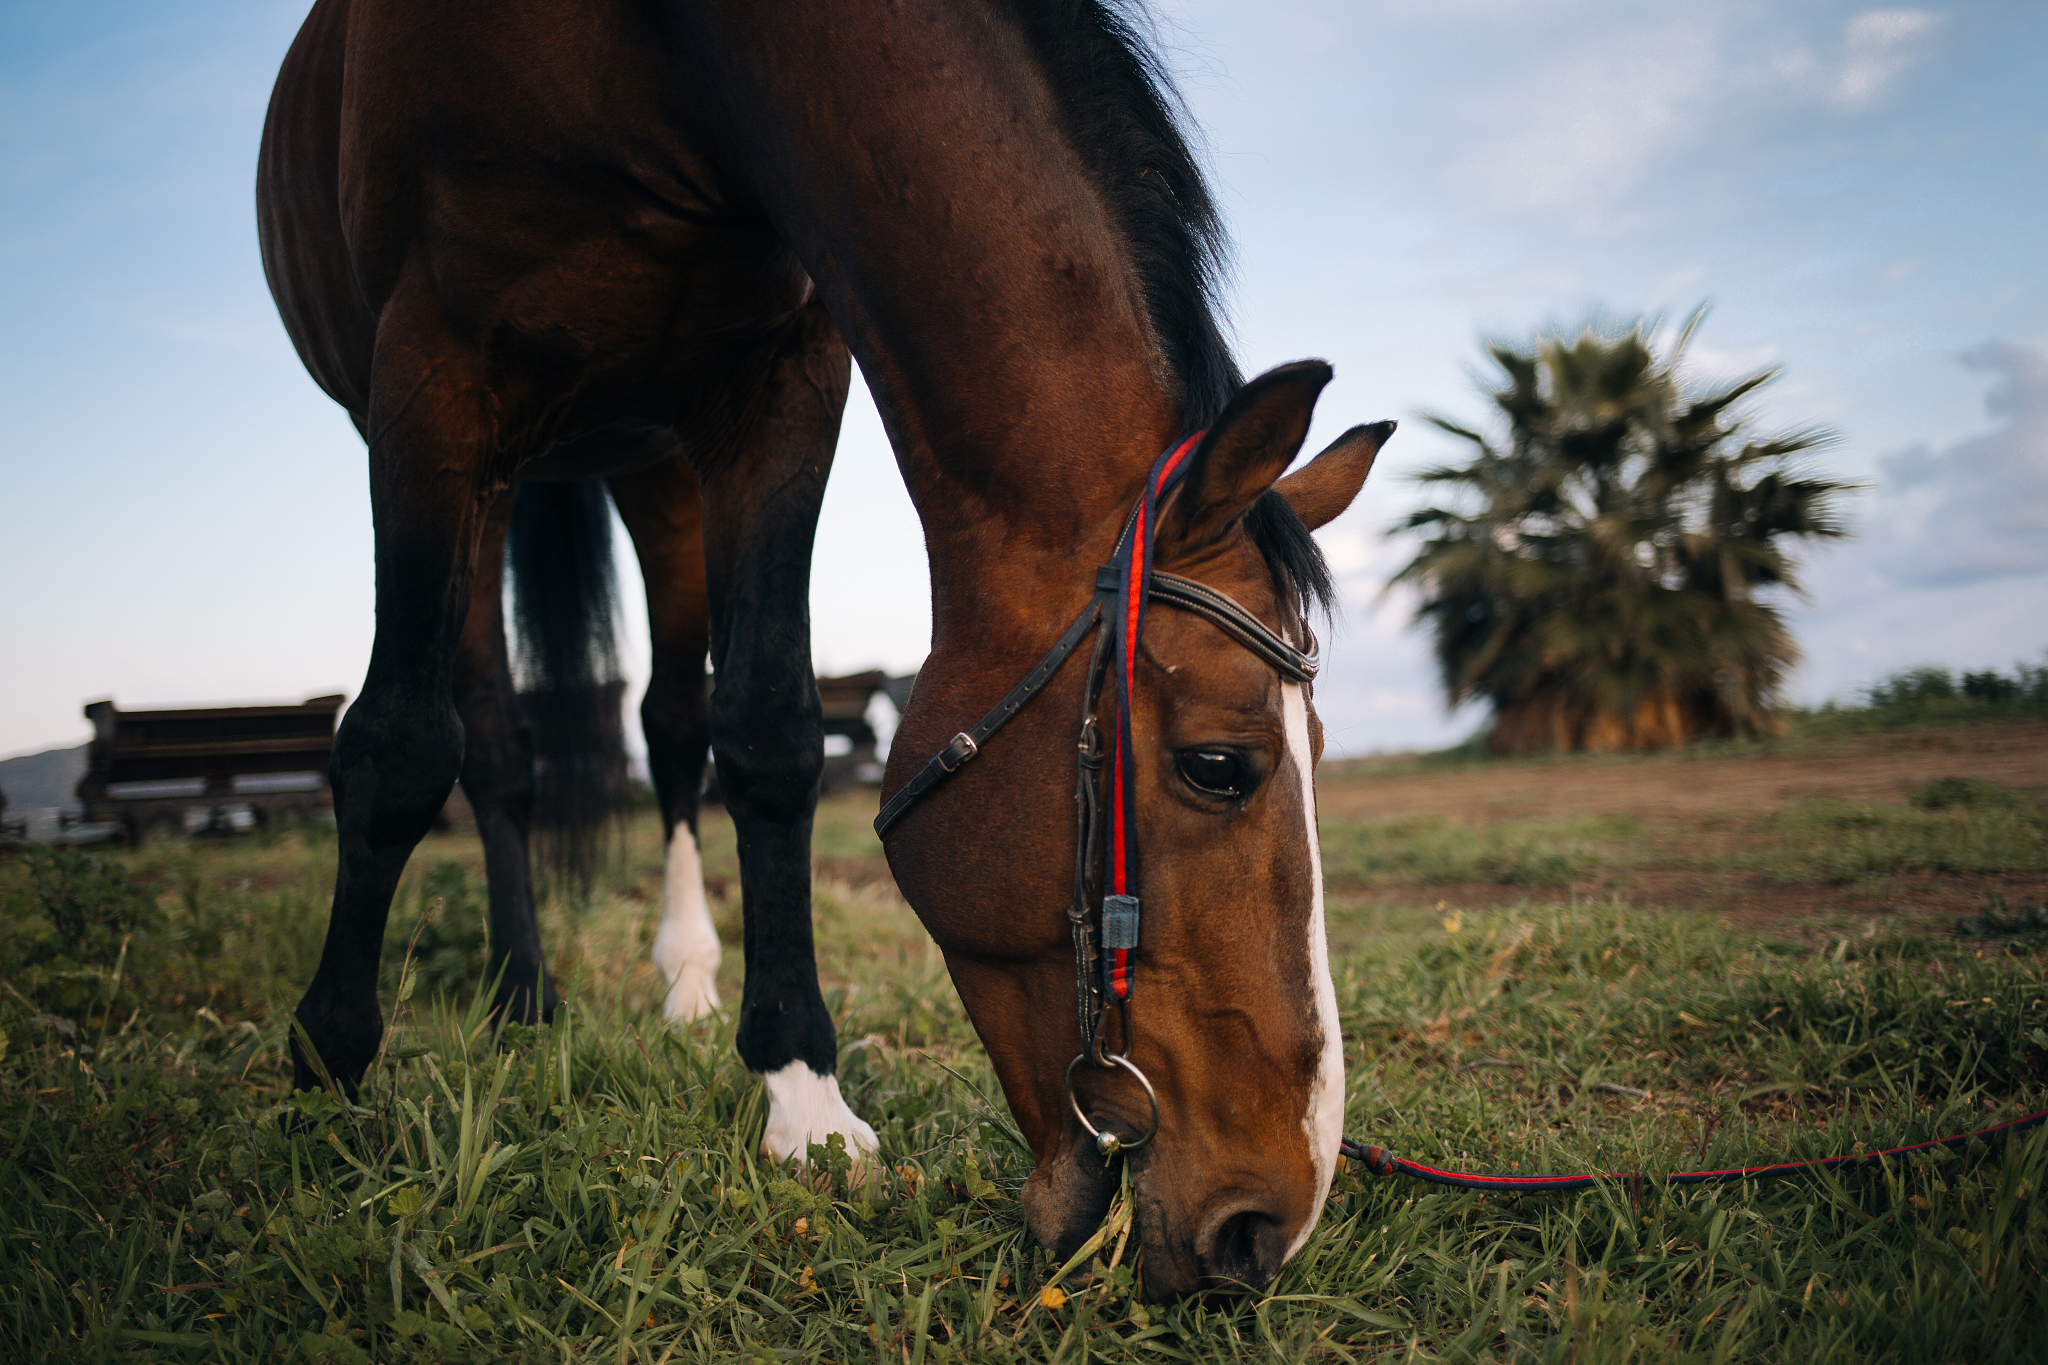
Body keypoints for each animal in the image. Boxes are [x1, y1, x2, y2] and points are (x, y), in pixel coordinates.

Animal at [257, 0, 1391, 1295]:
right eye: (1218, 767)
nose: (1273, 1225)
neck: (651, 61)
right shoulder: (424, 383)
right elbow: (398, 741)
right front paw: (329, 1066)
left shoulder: (779, 385)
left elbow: (767, 732)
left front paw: (801, 1096)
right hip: (484, 471)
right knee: (488, 740)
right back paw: (521, 994)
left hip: (654, 463)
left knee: (669, 722)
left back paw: (684, 974)